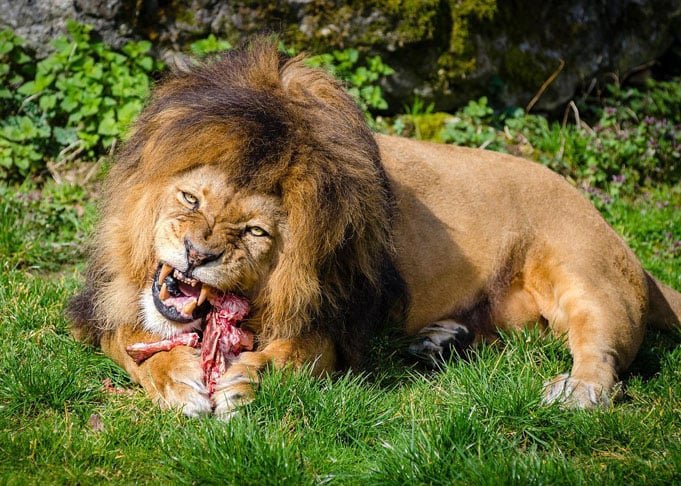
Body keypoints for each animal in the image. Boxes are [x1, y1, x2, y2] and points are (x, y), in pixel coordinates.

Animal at [69, 39, 681, 417]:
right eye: (191, 198)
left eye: (256, 233)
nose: (197, 255)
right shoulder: (101, 307)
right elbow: (134, 343)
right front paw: (178, 381)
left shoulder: (333, 326)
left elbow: (292, 356)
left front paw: (246, 379)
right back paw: (439, 341)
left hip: (585, 276)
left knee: (603, 353)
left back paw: (575, 391)